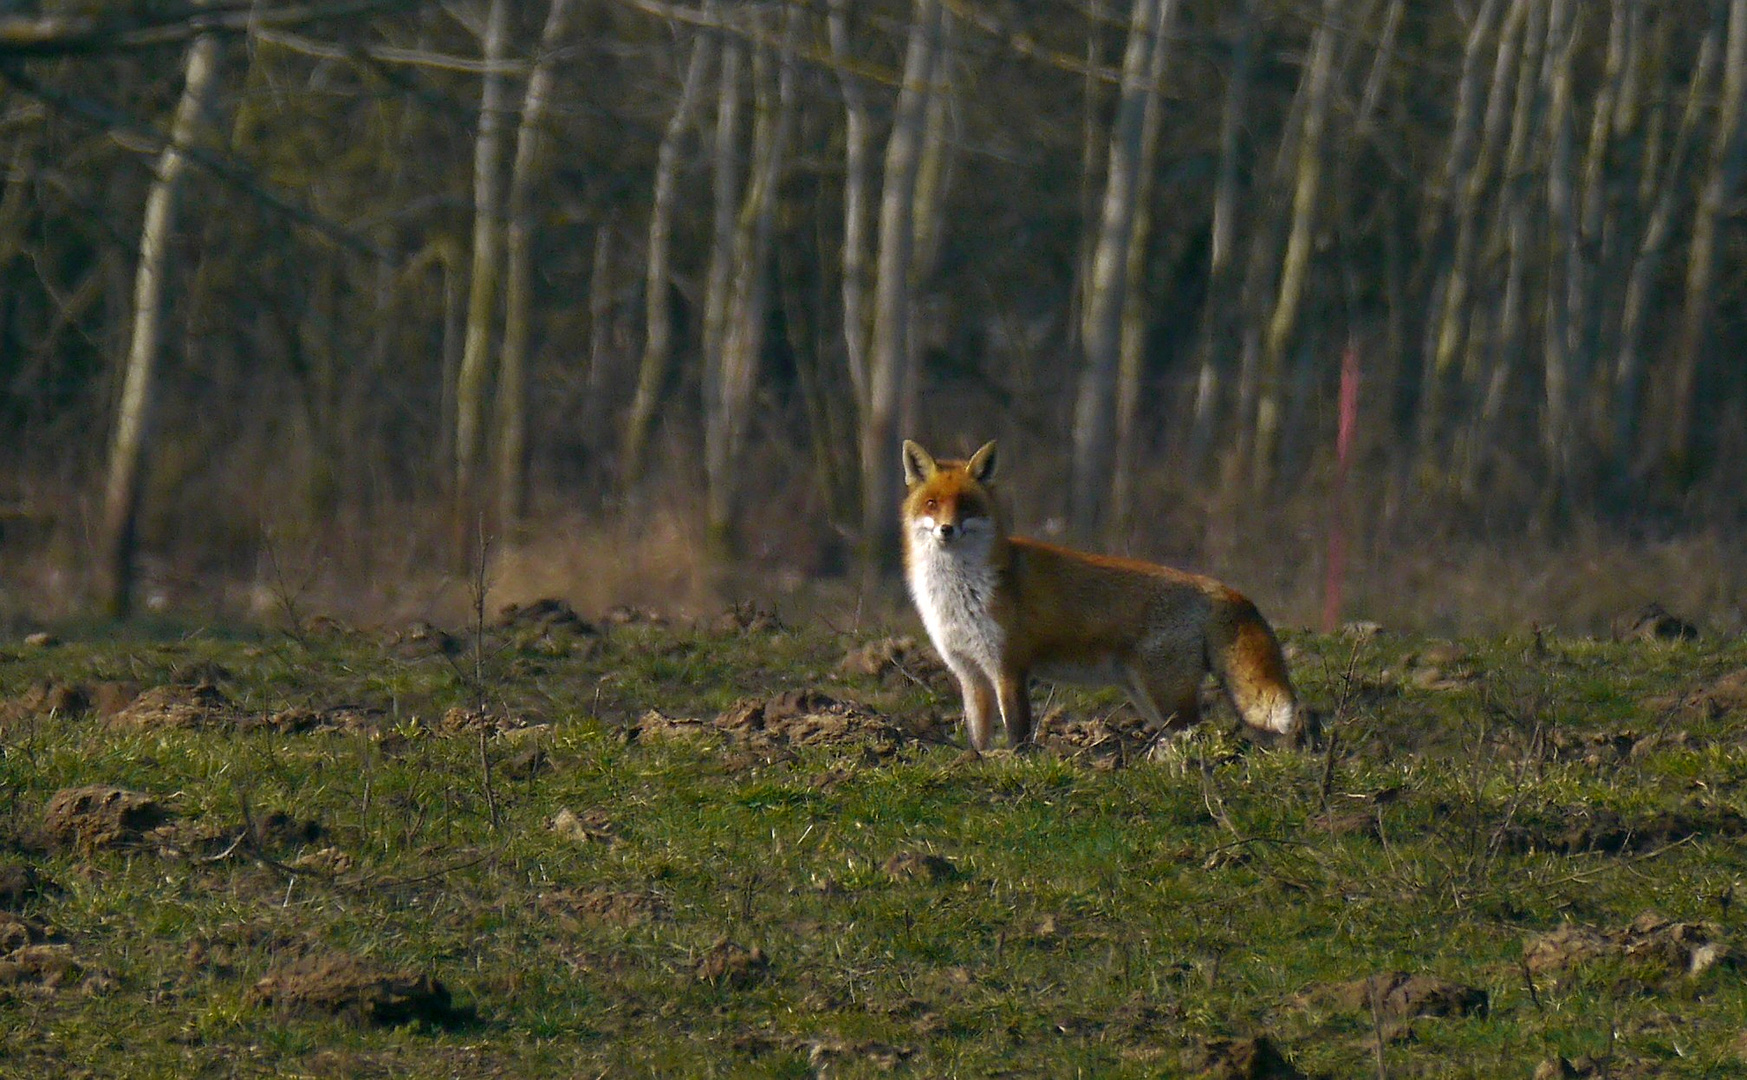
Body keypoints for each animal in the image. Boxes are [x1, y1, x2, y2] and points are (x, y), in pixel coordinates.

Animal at [908, 436, 1306, 747]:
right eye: (932, 504)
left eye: (966, 506)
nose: (946, 529)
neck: (961, 592)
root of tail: (1213, 585)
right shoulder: (970, 674)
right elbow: (978, 738)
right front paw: (978, 763)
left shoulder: (1009, 667)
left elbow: (1018, 736)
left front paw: (1015, 765)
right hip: (1145, 695)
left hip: (1165, 694)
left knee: (1197, 732)